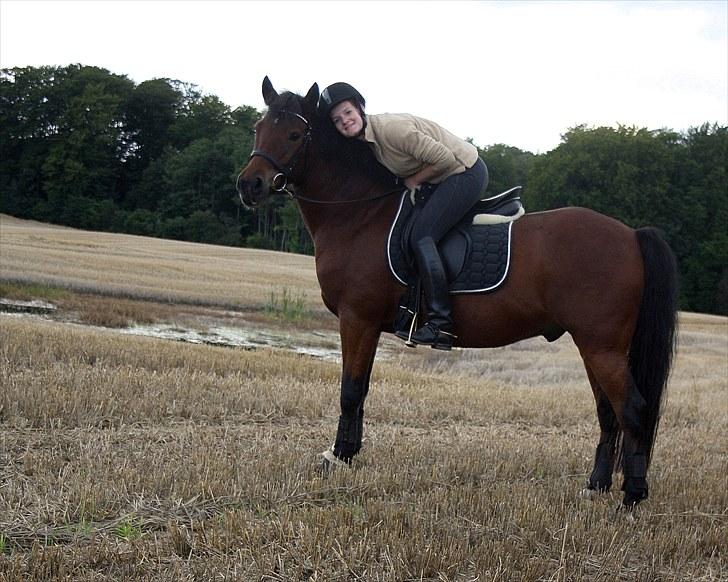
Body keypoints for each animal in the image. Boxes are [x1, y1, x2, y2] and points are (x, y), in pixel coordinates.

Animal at [236, 76, 680, 506]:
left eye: (295, 134)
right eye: (258, 127)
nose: (249, 185)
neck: (361, 213)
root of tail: (630, 234)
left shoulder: (357, 318)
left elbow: (350, 390)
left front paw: (337, 456)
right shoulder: (369, 325)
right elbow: (361, 391)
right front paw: (348, 452)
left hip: (601, 346)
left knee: (632, 409)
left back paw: (632, 497)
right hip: (595, 346)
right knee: (609, 412)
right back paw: (596, 486)